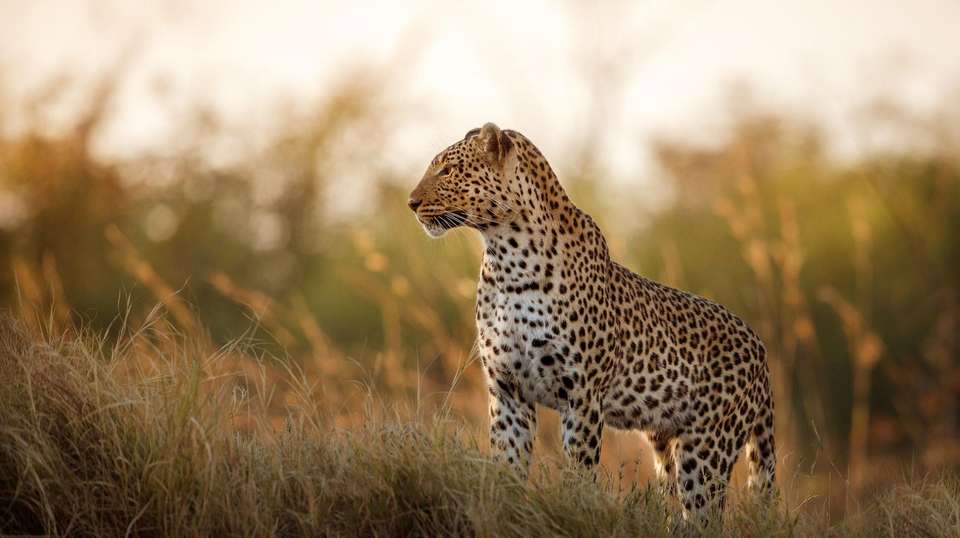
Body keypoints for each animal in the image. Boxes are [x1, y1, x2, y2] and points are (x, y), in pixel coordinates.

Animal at [407, 122, 776, 521]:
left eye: (447, 170)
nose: (411, 203)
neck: (506, 258)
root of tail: (759, 346)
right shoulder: (508, 391)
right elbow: (508, 466)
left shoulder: (581, 395)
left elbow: (578, 472)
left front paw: (573, 511)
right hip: (666, 443)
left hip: (707, 447)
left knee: (704, 516)